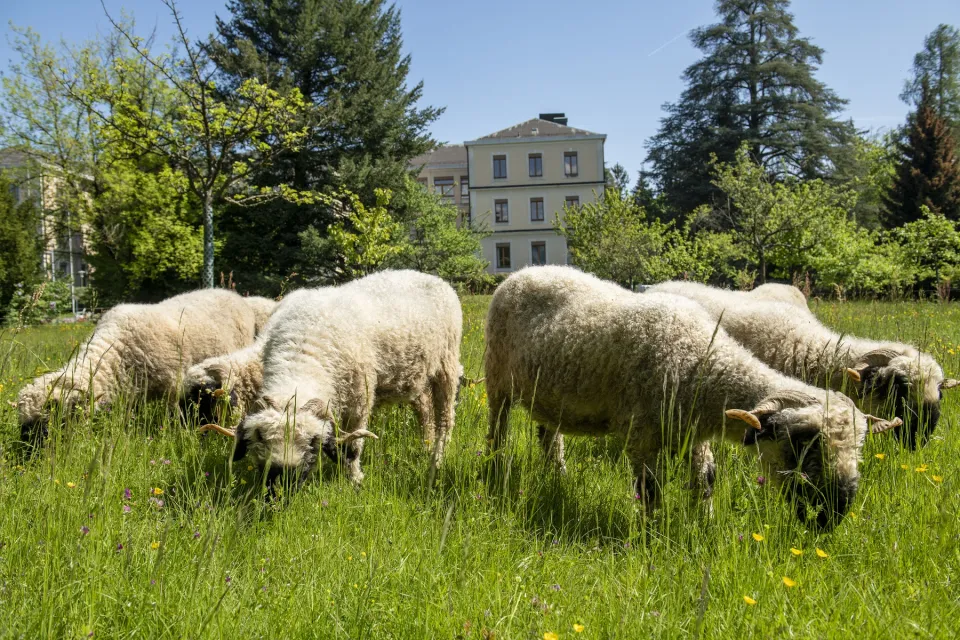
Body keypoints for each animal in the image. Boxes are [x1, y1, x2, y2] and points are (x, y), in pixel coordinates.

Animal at [15, 289, 272, 442]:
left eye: (48, 420)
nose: (28, 454)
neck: (115, 350)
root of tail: (228, 291)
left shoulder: (173, 387)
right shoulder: (130, 393)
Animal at [203, 270, 463, 492]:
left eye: (313, 442)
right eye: (260, 436)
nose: (282, 483)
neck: (304, 349)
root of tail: (428, 275)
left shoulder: (359, 401)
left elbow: (353, 446)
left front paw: (355, 480)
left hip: (447, 363)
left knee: (445, 417)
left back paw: (438, 456)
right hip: (416, 375)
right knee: (425, 409)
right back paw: (426, 444)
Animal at [485, 266, 900, 529]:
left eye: (860, 444)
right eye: (801, 442)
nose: (836, 512)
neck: (700, 362)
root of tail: (523, 272)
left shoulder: (693, 434)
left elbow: (706, 479)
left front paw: (706, 522)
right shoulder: (641, 433)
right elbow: (649, 490)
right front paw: (650, 536)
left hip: (549, 393)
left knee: (549, 435)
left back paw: (558, 476)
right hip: (497, 380)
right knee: (498, 430)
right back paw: (495, 469)